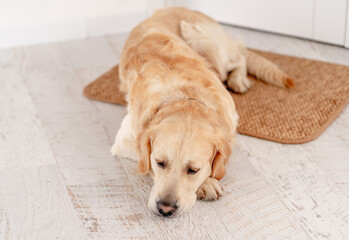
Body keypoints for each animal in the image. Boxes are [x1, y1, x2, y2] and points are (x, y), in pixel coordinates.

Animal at [110, 6, 292, 217]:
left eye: (193, 169)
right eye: (160, 162)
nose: (165, 209)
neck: (186, 98)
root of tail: (173, 6)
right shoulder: (124, 140)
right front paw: (206, 185)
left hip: (205, 42)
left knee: (239, 59)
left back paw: (238, 80)